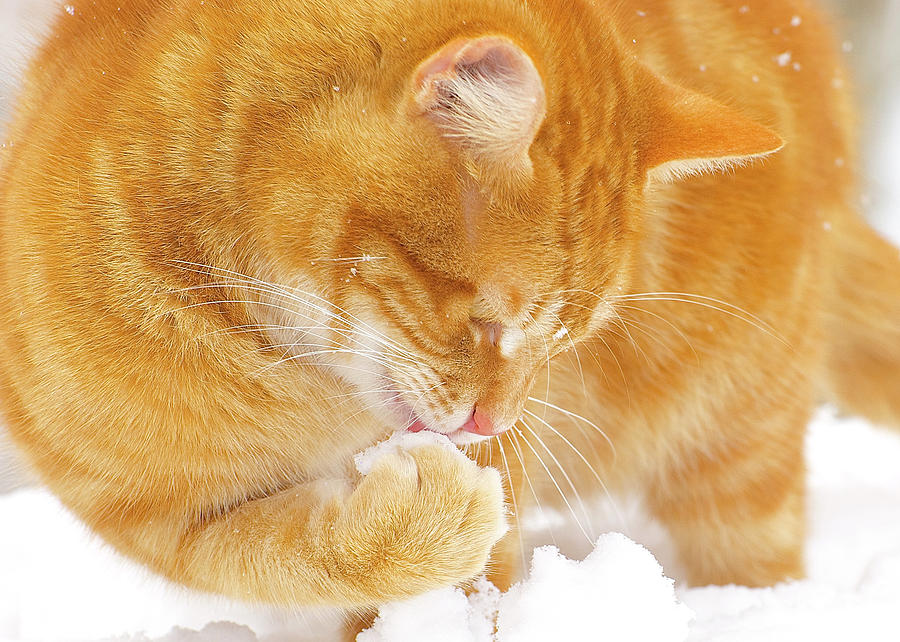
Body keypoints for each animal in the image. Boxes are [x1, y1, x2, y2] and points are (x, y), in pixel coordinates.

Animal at [1, 0, 900, 632]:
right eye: (488, 323)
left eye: (564, 340)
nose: (492, 419)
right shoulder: (153, 513)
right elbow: (279, 556)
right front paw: (410, 527)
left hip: (736, 449)